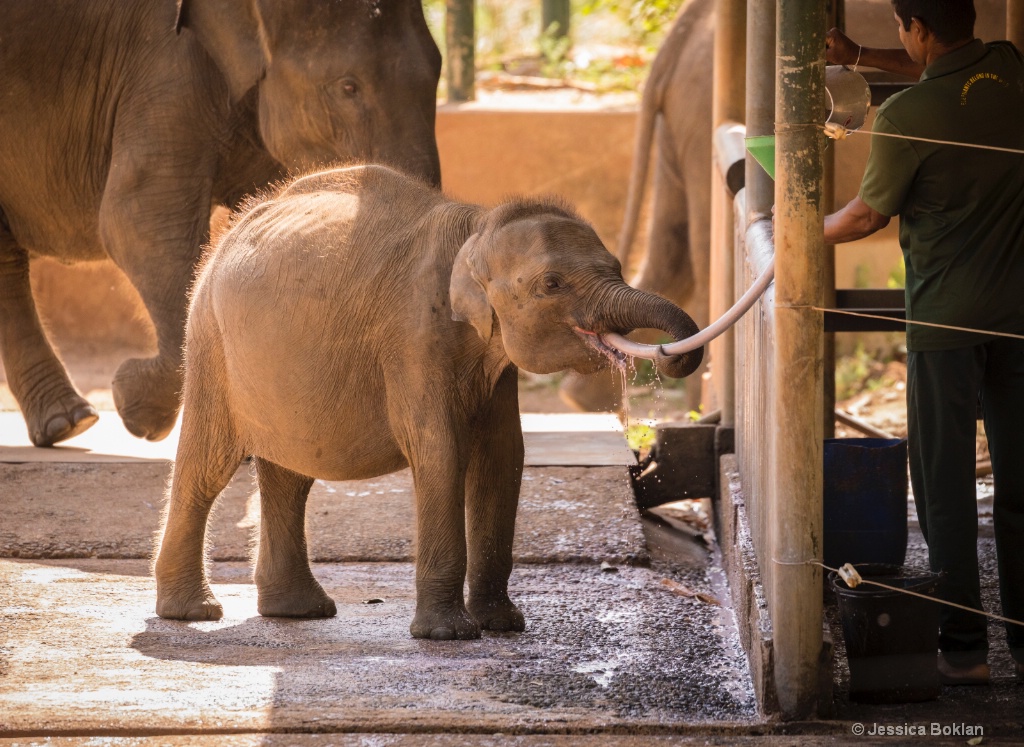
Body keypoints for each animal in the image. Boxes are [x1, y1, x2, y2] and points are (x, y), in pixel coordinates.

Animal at [0, 0, 440, 442]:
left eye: (437, 71)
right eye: (348, 87)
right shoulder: (163, 68)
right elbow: (137, 223)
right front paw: (133, 405)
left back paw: (68, 423)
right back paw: (74, 423)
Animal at [153, 161, 704, 635]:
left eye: (615, 265)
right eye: (552, 284)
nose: (671, 359)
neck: (478, 228)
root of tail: (235, 226)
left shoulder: (492, 358)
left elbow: (503, 455)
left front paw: (502, 625)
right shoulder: (414, 336)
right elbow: (441, 452)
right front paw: (449, 634)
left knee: (290, 475)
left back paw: (298, 611)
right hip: (209, 343)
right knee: (207, 466)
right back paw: (193, 612)